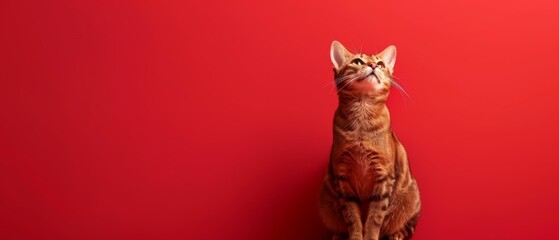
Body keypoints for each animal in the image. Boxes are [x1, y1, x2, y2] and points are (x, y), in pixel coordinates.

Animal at [320, 41, 420, 240]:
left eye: (380, 64)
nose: (373, 65)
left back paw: (396, 234)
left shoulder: (384, 176)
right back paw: (338, 236)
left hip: (411, 196)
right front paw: (356, 236)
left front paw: (371, 236)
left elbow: (375, 218)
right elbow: (352, 217)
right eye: (358, 62)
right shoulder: (342, 177)